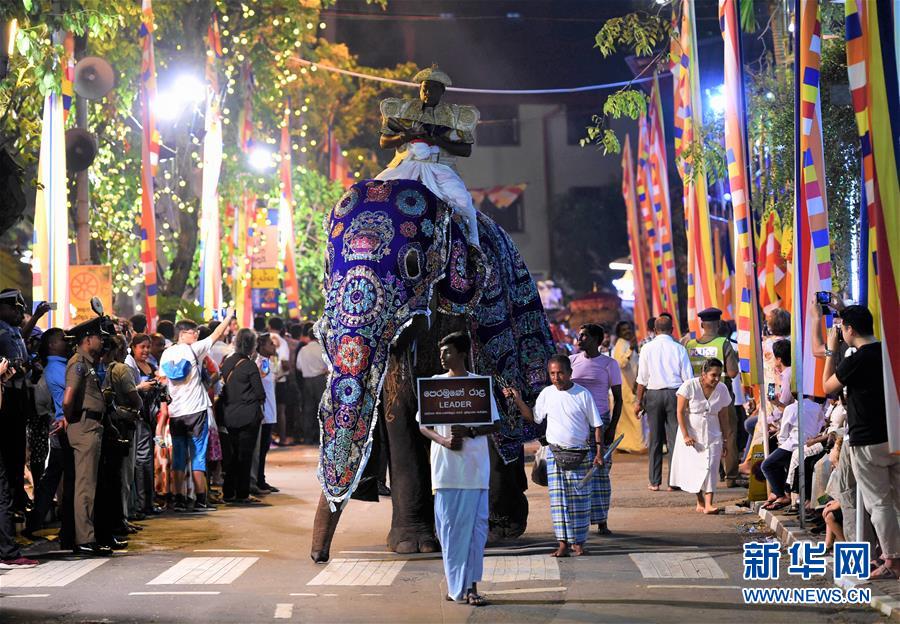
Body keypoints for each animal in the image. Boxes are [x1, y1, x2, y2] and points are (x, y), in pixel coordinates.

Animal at [308, 179, 556, 560]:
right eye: (326, 263)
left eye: (413, 265)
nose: (318, 557)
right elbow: (399, 408)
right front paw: (412, 546)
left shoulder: (462, 316)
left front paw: (420, 544)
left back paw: (501, 528)